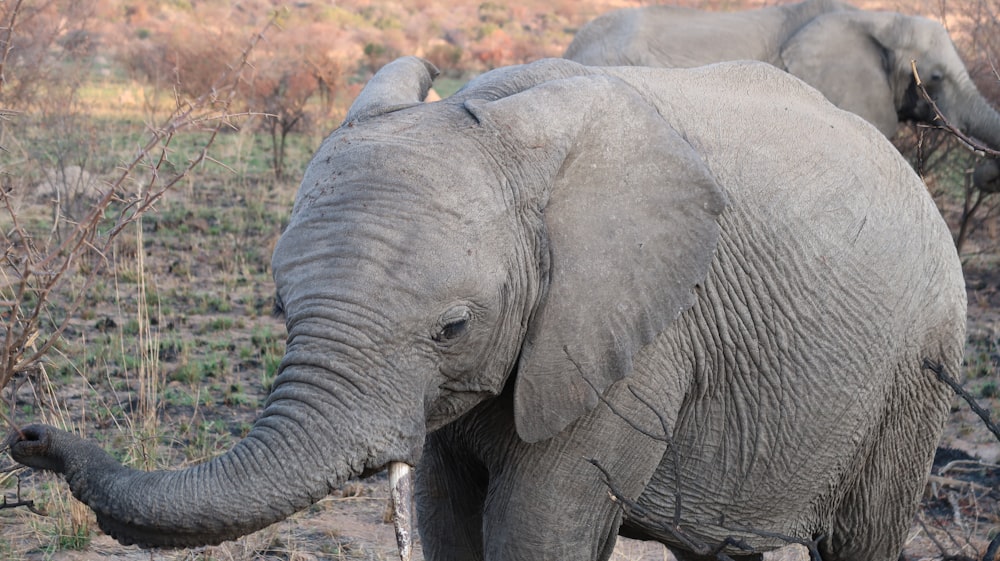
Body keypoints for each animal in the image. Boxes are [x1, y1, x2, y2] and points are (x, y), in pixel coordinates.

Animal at [3, 55, 964, 560]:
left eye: (452, 327)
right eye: (279, 305)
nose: (31, 434)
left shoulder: (634, 339)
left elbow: (539, 530)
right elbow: (445, 512)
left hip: (917, 369)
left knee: (863, 538)